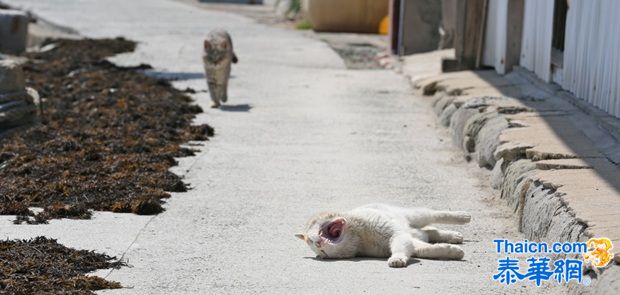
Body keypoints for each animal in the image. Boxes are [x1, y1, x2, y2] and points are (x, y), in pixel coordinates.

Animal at [296, 204, 470, 268]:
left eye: (312, 240)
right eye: (323, 253)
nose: (319, 243)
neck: (359, 235)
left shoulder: (396, 234)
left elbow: (400, 247)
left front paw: (397, 258)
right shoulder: (408, 241)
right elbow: (426, 250)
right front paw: (452, 252)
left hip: (414, 216)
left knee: (433, 215)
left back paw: (463, 217)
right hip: (415, 232)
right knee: (430, 232)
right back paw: (453, 237)